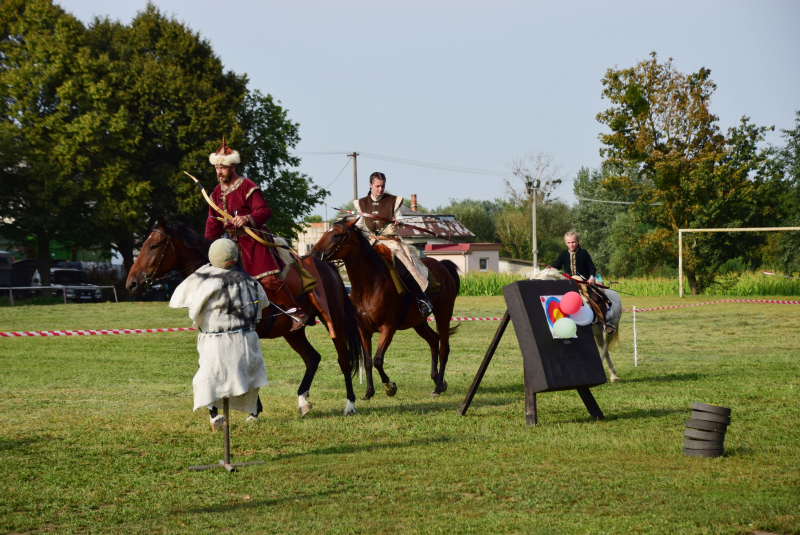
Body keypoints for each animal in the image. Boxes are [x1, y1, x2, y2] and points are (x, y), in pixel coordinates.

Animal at [125, 216, 362, 416]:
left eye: (154, 246)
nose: (132, 283)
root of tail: (327, 267)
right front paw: (225, 411)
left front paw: (246, 411)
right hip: (292, 332)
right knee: (312, 358)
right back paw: (303, 401)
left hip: (335, 321)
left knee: (343, 358)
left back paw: (349, 404)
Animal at [308, 217, 460, 398]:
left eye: (336, 235)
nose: (312, 255)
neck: (368, 285)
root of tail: (442, 265)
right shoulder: (364, 331)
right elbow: (367, 361)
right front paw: (369, 392)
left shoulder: (387, 328)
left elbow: (377, 360)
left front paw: (390, 386)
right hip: (418, 322)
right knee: (434, 340)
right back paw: (438, 380)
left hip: (443, 314)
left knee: (444, 348)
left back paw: (437, 388)